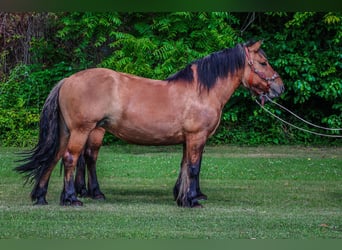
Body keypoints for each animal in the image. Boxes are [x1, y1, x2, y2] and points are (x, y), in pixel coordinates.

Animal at [15, 40, 284, 207]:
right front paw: (191, 200)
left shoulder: (188, 139)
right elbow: (193, 168)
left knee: (53, 158)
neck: (201, 91)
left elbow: (185, 166)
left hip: (66, 132)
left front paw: (182, 196)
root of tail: (68, 80)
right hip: (81, 131)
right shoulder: (196, 136)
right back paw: (71, 198)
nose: (280, 87)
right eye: (263, 63)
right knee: (71, 159)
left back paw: (41, 197)